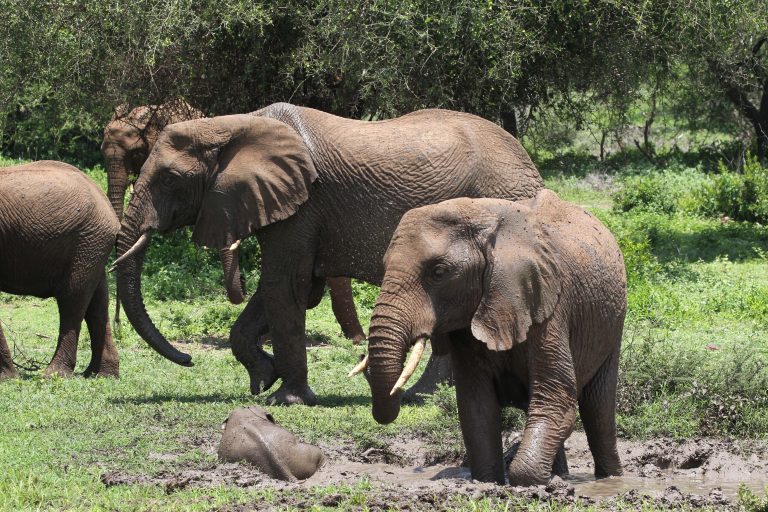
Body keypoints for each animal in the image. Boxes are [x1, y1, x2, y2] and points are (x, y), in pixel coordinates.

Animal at [0, 161, 120, 380]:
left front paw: (7, 379)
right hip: (93, 245)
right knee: (98, 302)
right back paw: (100, 374)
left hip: (87, 242)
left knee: (72, 298)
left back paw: (54, 374)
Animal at [360, 190, 626, 486]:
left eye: (438, 272)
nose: (362, 356)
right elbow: (477, 407)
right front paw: (488, 482)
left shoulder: (548, 308)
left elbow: (557, 399)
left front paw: (526, 480)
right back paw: (559, 476)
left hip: (612, 322)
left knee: (598, 408)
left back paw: (610, 479)